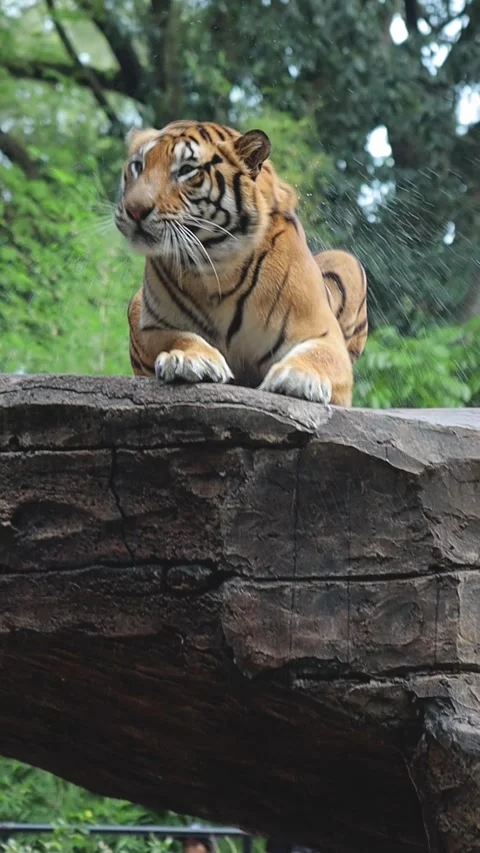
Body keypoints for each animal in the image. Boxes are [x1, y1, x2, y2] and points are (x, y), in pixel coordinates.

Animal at [114, 120, 368, 405]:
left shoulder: (322, 333)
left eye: (186, 170)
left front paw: (298, 377)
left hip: (347, 261)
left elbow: (319, 355)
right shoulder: (154, 326)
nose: (134, 210)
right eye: (138, 166)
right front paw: (189, 359)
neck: (214, 265)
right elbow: (178, 337)